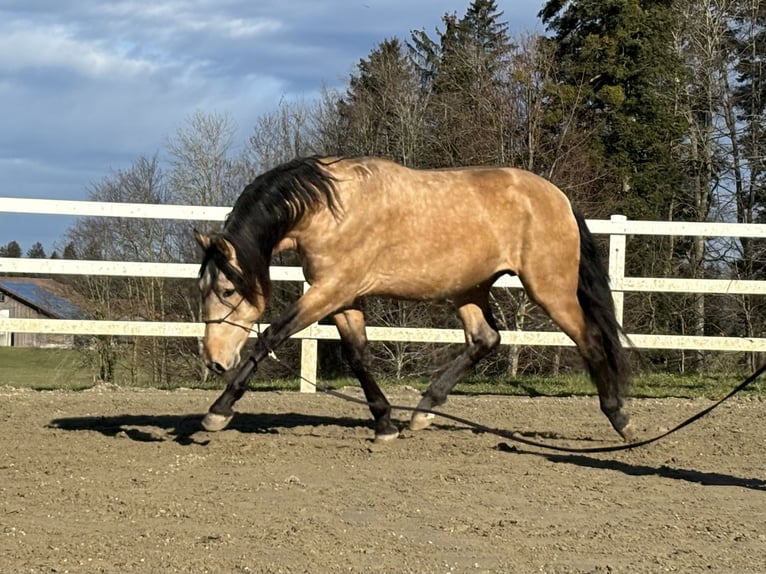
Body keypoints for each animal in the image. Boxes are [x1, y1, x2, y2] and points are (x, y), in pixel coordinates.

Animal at [194, 156, 636, 446]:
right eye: (202, 288)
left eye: (227, 291)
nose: (214, 360)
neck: (329, 208)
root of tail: (560, 198)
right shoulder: (343, 297)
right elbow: (358, 356)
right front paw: (385, 422)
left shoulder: (330, 290)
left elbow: (271, 336)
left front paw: (218, 412)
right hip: (469, 288)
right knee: (485, 339)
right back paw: (421, 414)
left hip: (550, 288)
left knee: (590, 341)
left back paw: (620, 418)